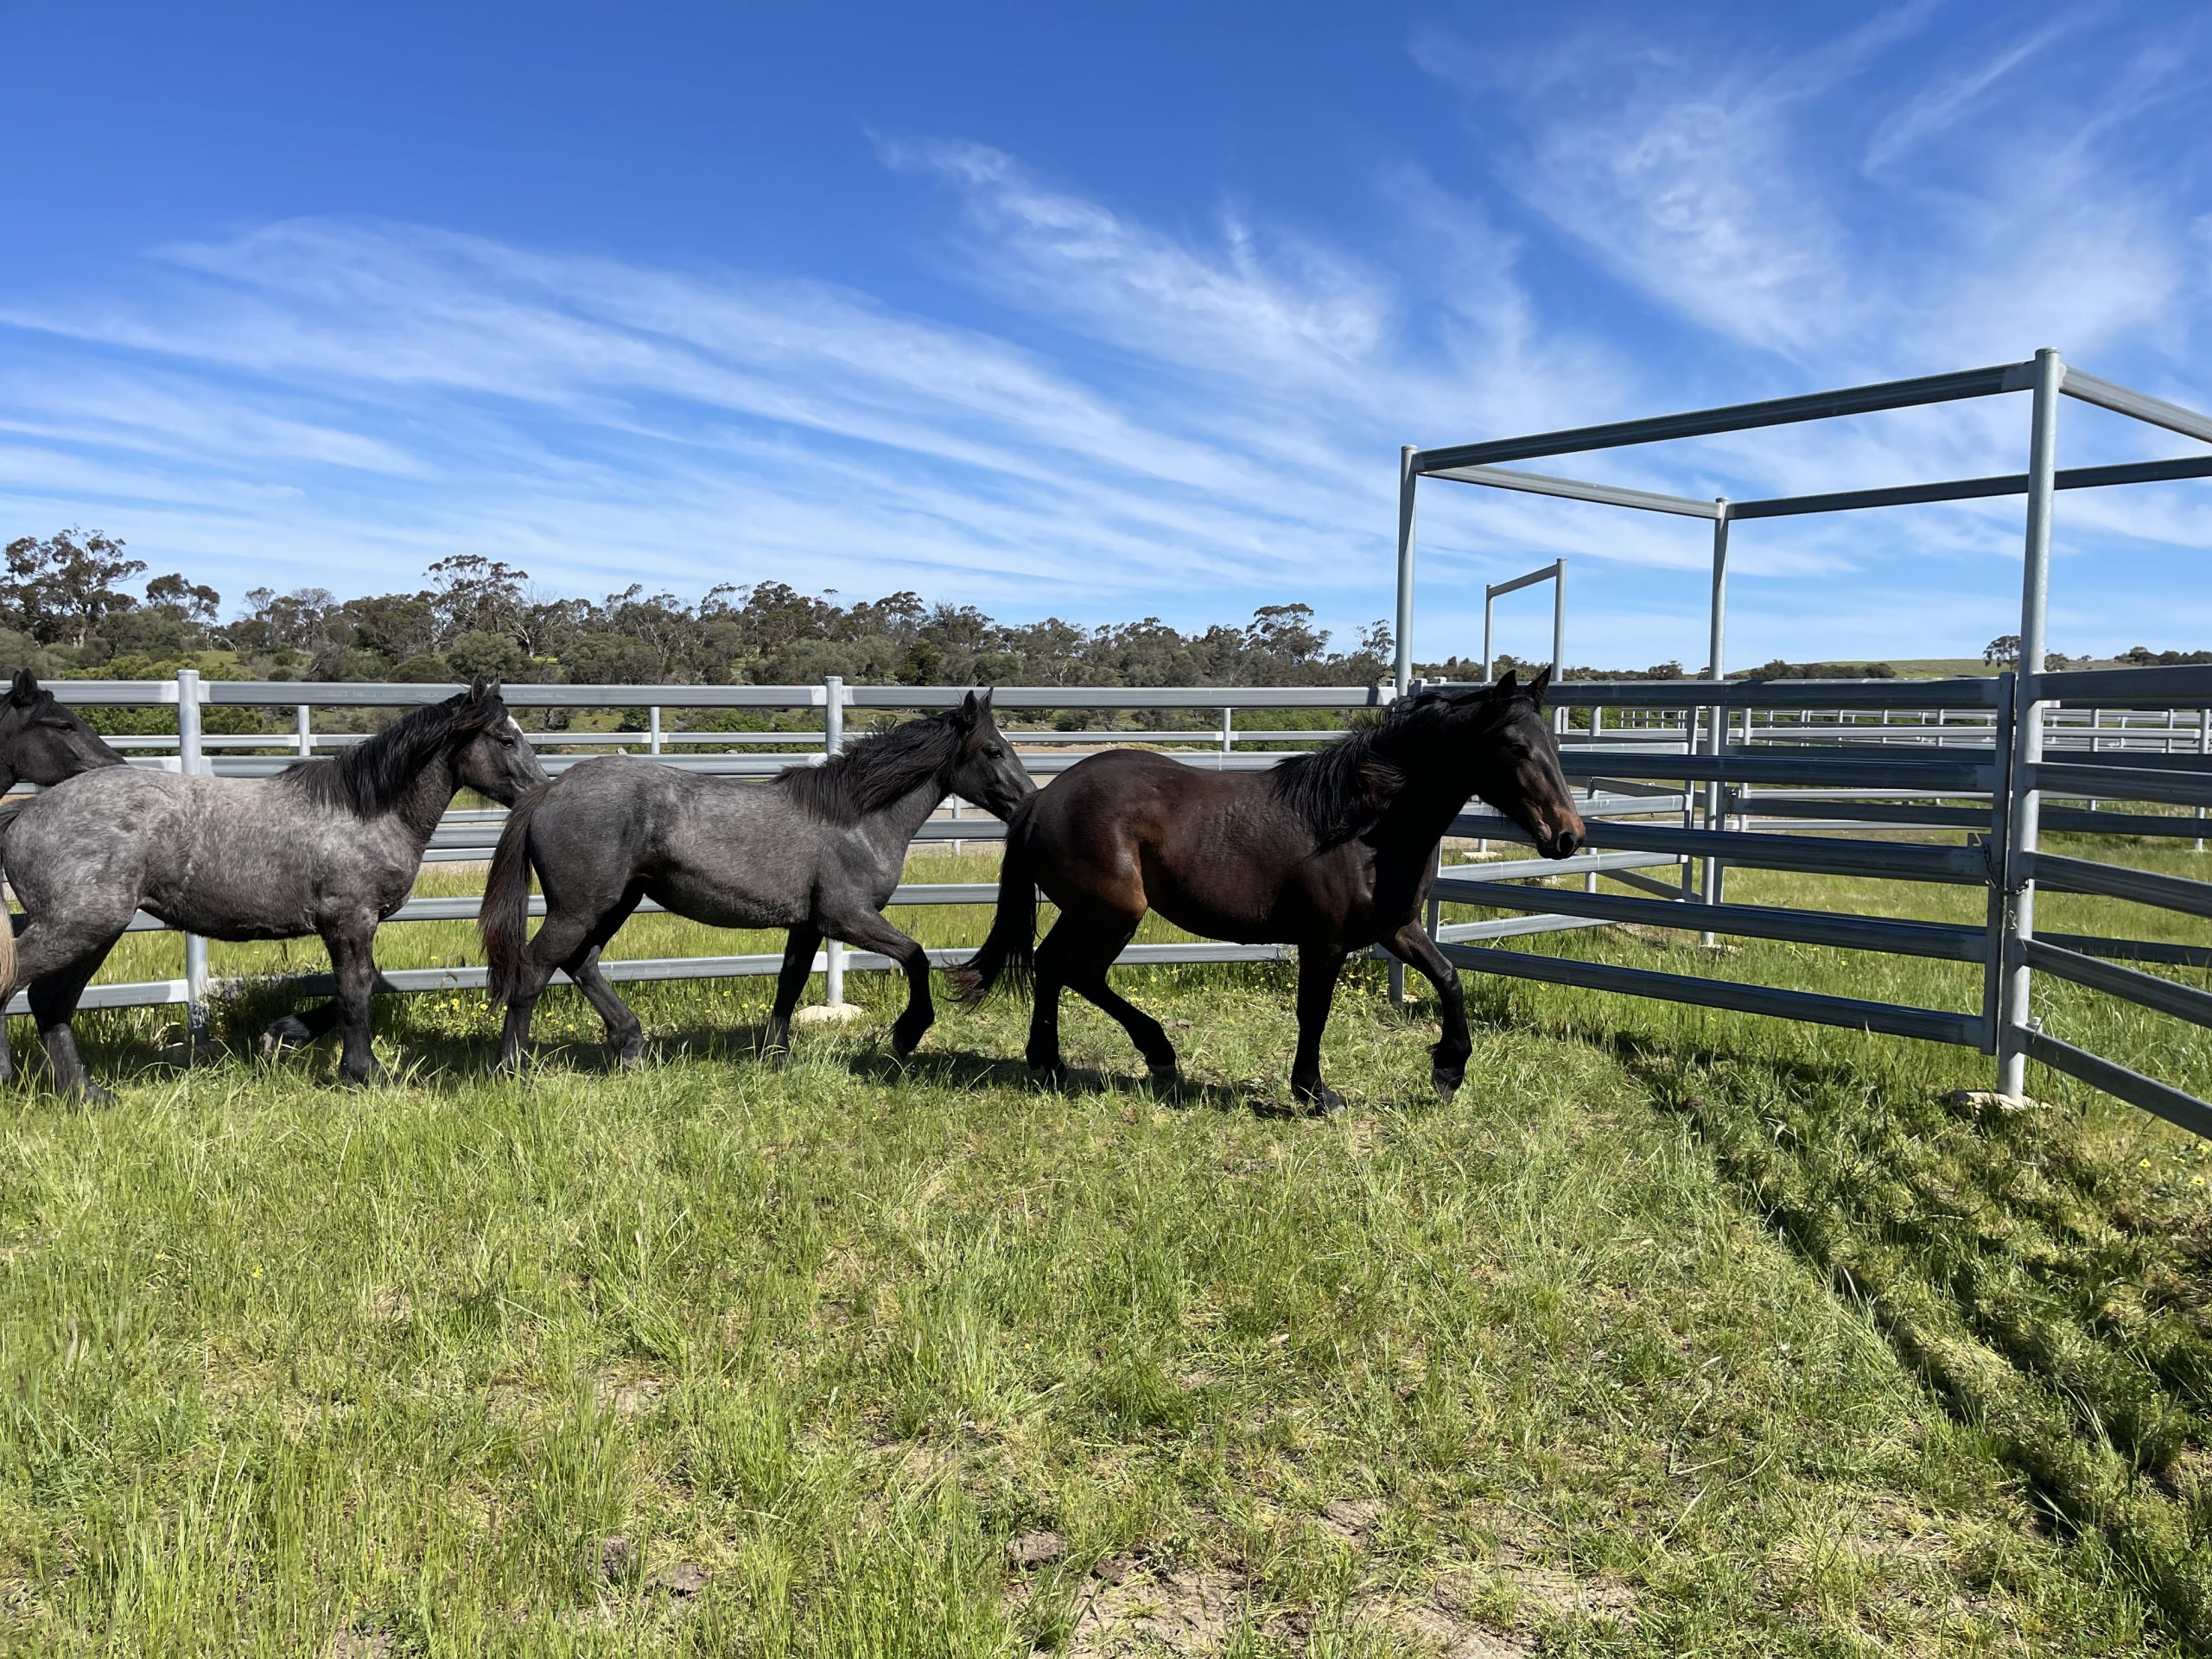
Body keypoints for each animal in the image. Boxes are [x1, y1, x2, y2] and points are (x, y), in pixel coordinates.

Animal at [0, 680, 545, 1101]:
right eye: (505, 739)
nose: (539, 792)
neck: (365, 810)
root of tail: (23, 816)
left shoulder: (350, 923)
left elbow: (358, 985)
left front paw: (282, 1035)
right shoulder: (349, 918)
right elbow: (355, 990)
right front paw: (363, 1072)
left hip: (96, 931)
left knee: (51, 1001)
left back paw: (85, 1095)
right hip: (82, 925)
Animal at [479, 689, 1034, 1069]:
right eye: (994, 751)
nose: (1028, 800)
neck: (854, 818)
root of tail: (548, 792)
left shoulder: (807, 927)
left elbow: (789, 984)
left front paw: (775, 1055)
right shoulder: (848, 918)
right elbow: (916, 957)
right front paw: (907, 1034)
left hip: (614, 903)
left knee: (582, 964)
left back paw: (631, 1045)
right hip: (579, 909)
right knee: (534, 971)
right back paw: (515, 1069)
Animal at [952, 667, 1584, 1114]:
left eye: (1554, 747)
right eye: (1516, 748)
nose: (1569, 836)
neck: (1362, 825)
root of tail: (1041, 800)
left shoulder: (1395, 929)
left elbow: (1450, 978)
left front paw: (1448, 1070)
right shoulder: (1325, 943)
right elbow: (1313, 1013)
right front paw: (1313, 1094)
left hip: (1086, 911)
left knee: (1051, 964)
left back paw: (1052, 1064)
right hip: (1113, 913)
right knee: (1077, 971)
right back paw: (1152, 1053)